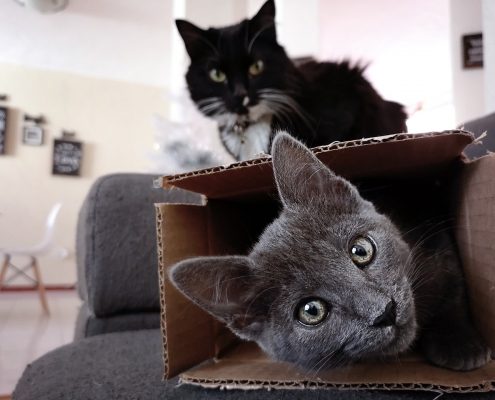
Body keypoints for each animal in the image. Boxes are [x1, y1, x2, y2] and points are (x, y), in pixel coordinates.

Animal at [170, 132, 492, 372]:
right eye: (311, 311)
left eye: (361, 250)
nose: (384, 311)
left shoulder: (437, 244)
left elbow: (454, 289)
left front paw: (459, 343)